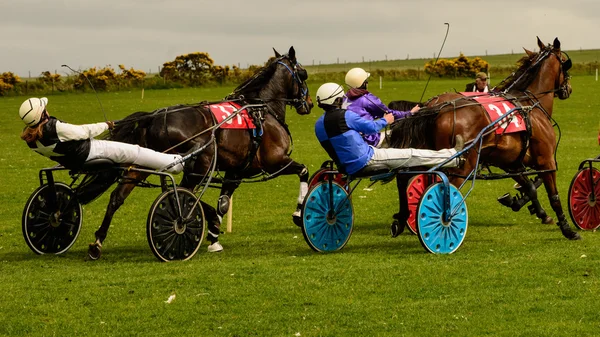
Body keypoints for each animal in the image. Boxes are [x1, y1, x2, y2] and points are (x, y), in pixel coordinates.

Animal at [81, 46, 314, 258]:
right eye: (303, 74)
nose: (309, 103)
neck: (261, 109)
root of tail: (155, 117)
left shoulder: (235, 172)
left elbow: (223, 204)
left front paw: (214, 236)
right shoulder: (275, 161)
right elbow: (303, 171)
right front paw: (298, 212)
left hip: (144, 163)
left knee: (118, 197)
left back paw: (98, 242)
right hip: (200, 165)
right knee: (182, 192)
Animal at [390, 37, 580, 239]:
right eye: (565, 63)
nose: (568, 88)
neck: (529, 104)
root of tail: (436, 108)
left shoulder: (511, 162)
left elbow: (531, 187)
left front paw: (524, 205)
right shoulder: (546, 161)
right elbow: (553, 196)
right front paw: (567, 229)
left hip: (427, 154)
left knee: (403, 177)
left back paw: (402, 218)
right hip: (462, 165)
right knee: (445, 189)